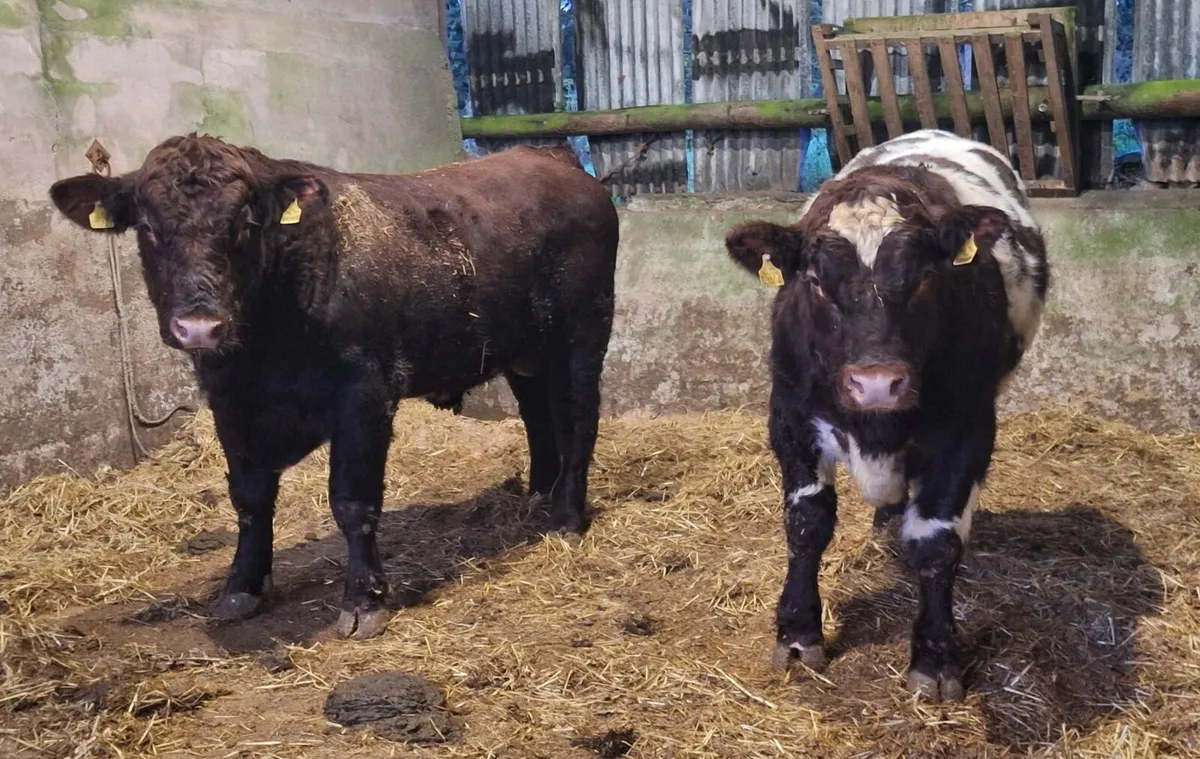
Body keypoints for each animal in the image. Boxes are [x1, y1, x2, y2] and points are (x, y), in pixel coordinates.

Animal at [49, 136, 619, 640]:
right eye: (147, 226)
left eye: (245, 223)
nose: (199, 326)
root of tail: (550, 159)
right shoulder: (228, 400)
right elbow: (248, 497)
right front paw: (241, 588)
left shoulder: (364, 394)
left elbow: (352, 501)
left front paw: (364, 600)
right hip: (523, 347)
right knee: (537, 415)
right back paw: (539, 494)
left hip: (584, 328)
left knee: (578, 415)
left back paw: (566, 517)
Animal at [724, 130, 1049, 701]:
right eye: (814, 280)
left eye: (924, 276)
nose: (876, 382)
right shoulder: (789, 416)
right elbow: (807, 521)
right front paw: (797, 635)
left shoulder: (968, 429)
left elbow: (937, 541)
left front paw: (936, 659)